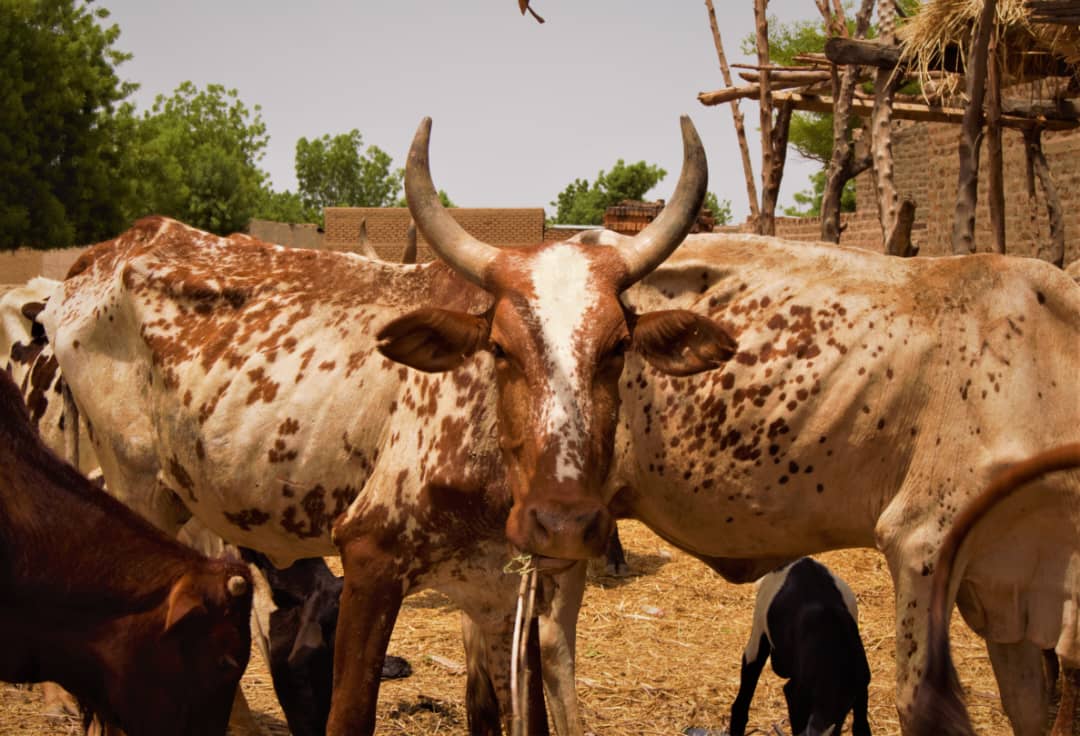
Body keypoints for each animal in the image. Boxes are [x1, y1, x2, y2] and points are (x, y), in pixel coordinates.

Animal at [38, 111, 721, 730]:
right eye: (500, 347)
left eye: (617, 347)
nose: (563, 522)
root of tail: (108, 251)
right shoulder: (368, 559)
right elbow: (348, 715)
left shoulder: (502, 597)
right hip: (136, 489)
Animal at [725, 557, 868, 734]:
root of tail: (803, 561)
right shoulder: (796, 695)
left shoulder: (860, 689)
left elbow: (861, 726)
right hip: (759, 631)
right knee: (742, 698)